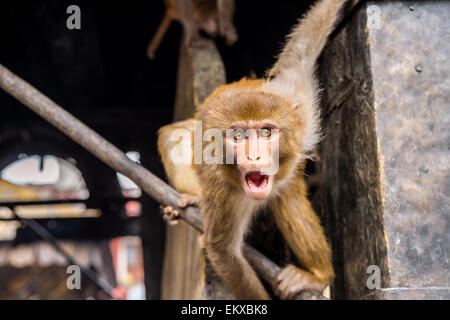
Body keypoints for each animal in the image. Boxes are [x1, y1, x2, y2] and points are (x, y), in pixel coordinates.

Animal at [156, 0, 350, 300]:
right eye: (238, 136)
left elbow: (301, 50)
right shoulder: (220, 186)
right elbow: (223, 252)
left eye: (266, 132)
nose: (254, 155)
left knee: (288, 200)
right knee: (171, 135)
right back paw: (192, 198)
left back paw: (318, 276)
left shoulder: (295, 101)